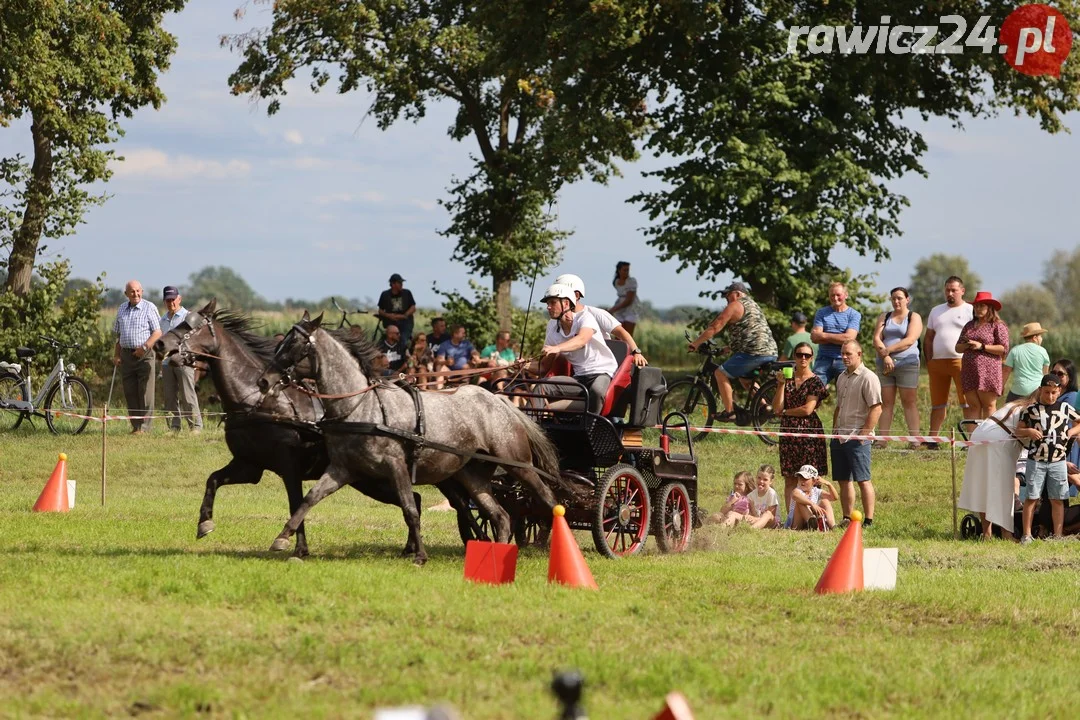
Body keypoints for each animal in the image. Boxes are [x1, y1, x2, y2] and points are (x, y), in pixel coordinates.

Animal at [257, 313, 561, 565]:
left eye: (294, 345)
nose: (263, 381)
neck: (360, 406)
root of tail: (500, 401)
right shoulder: (341, 469)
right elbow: (310, 498)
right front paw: (282, 537)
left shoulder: (396, 466)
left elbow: (409, 509)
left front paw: (420, 555)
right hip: (472, 474)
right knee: (501, 516)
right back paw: (494, 556)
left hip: (518, 464)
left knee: (548, 499)